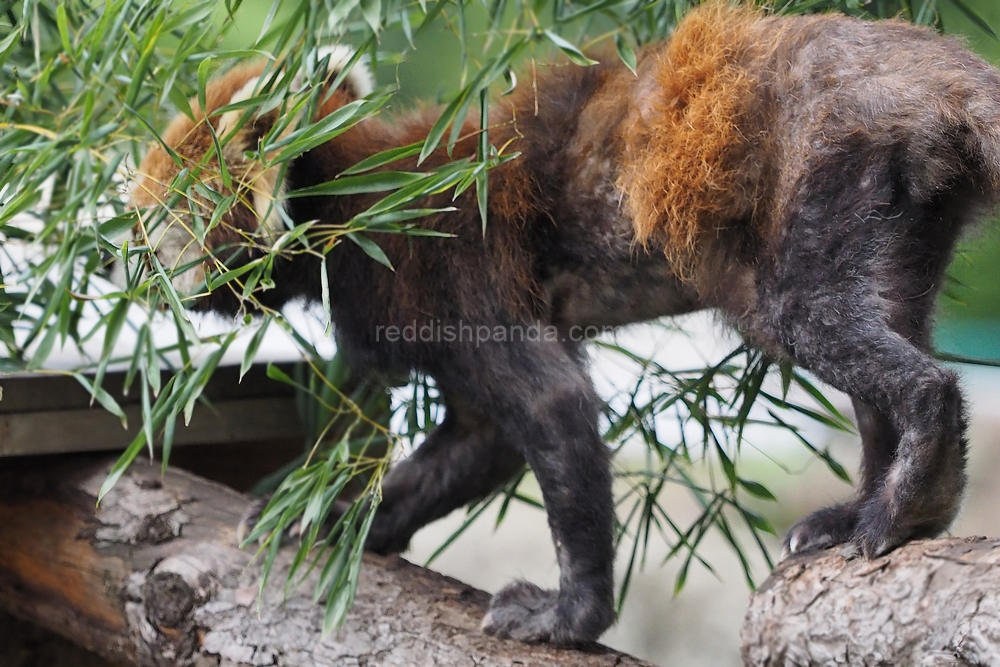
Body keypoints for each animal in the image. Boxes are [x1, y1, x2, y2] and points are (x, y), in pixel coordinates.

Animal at [131, 2, 1000, 644]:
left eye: (153, 227)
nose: (114, 262)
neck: (356, 208)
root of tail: (930, 66)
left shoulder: (449, 273)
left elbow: (552, 407)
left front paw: (569, 615)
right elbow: (469, 447)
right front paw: (333, 517)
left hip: (825, 174)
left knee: (865, 349)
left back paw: (899, 503)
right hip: (895, 219)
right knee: (882, 337)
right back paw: (880, 509)